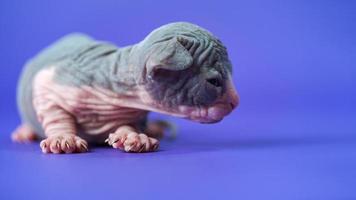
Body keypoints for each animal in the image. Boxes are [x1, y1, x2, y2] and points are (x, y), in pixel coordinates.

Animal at [12, 21, 239, 153]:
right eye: (214, 82)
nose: (236, 102)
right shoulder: (47, 85)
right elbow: (56, 115)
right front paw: (62, 138)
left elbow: (126, 124)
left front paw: (134, 137)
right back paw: (24, 132)